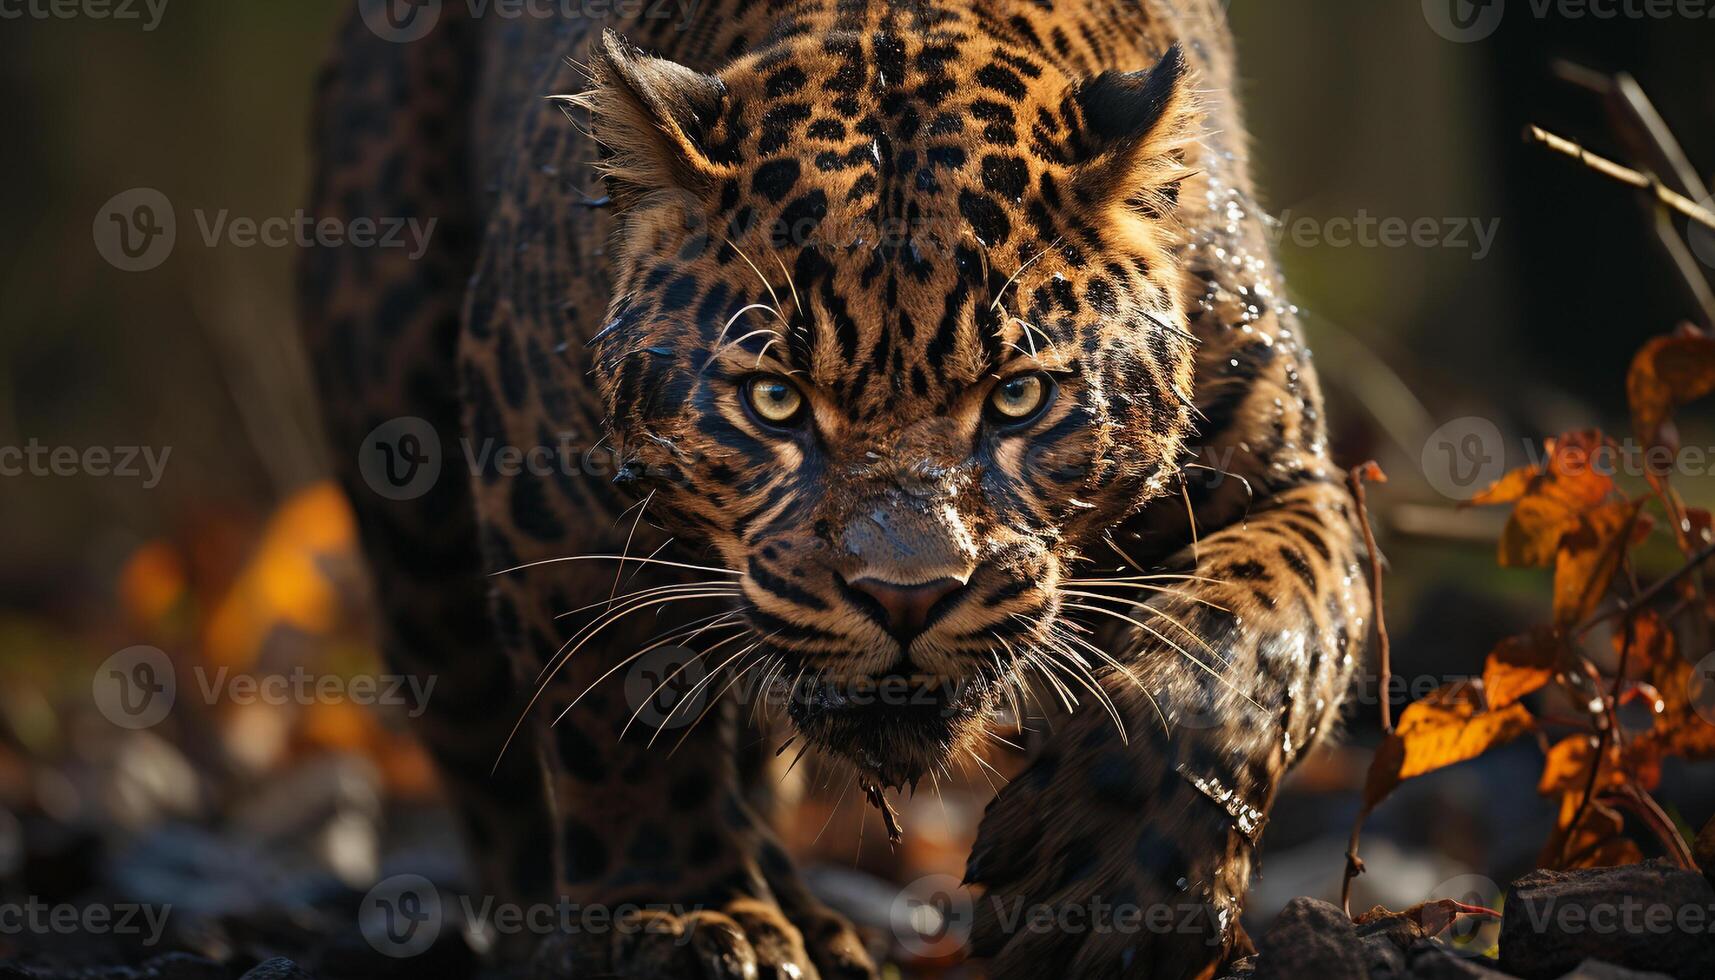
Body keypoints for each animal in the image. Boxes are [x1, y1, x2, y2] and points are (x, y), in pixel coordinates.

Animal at [298, 0, 1365, 974]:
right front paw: (688, 914)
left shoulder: (1288, 480)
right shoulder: (550, 487)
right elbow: (622, 727)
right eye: (775, 400)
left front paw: (1113, 882)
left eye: (1017, 396)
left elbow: (1243, 640)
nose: (907, 596)